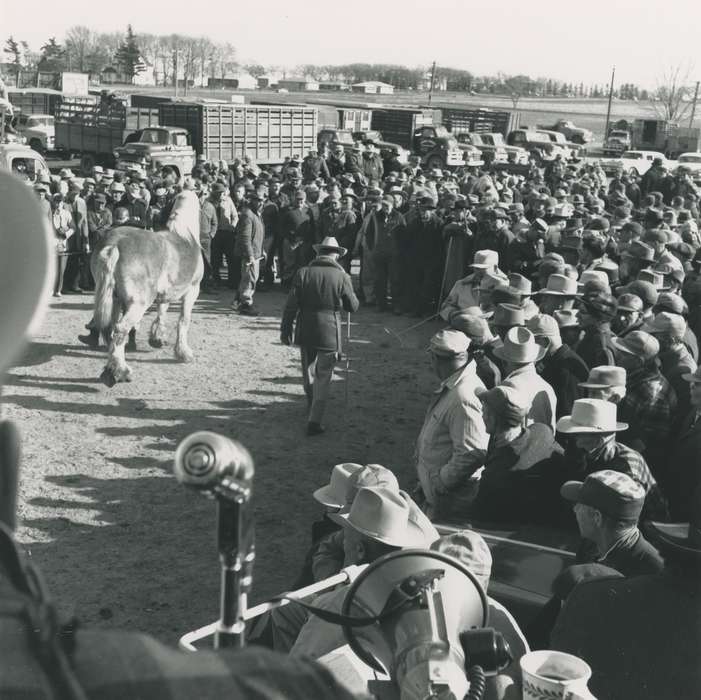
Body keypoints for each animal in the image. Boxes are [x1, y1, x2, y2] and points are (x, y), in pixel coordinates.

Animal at [90, 189, 202, 386]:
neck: (186, 237)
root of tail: (114, 244)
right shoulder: (192, 291)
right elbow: (184, 320)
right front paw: (183, 353)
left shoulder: (164, 295)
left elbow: (161, 314)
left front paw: (157, 338)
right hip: (138, 304)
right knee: (120, 330)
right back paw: (120, 372)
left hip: (114, 299)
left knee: (110, 329)